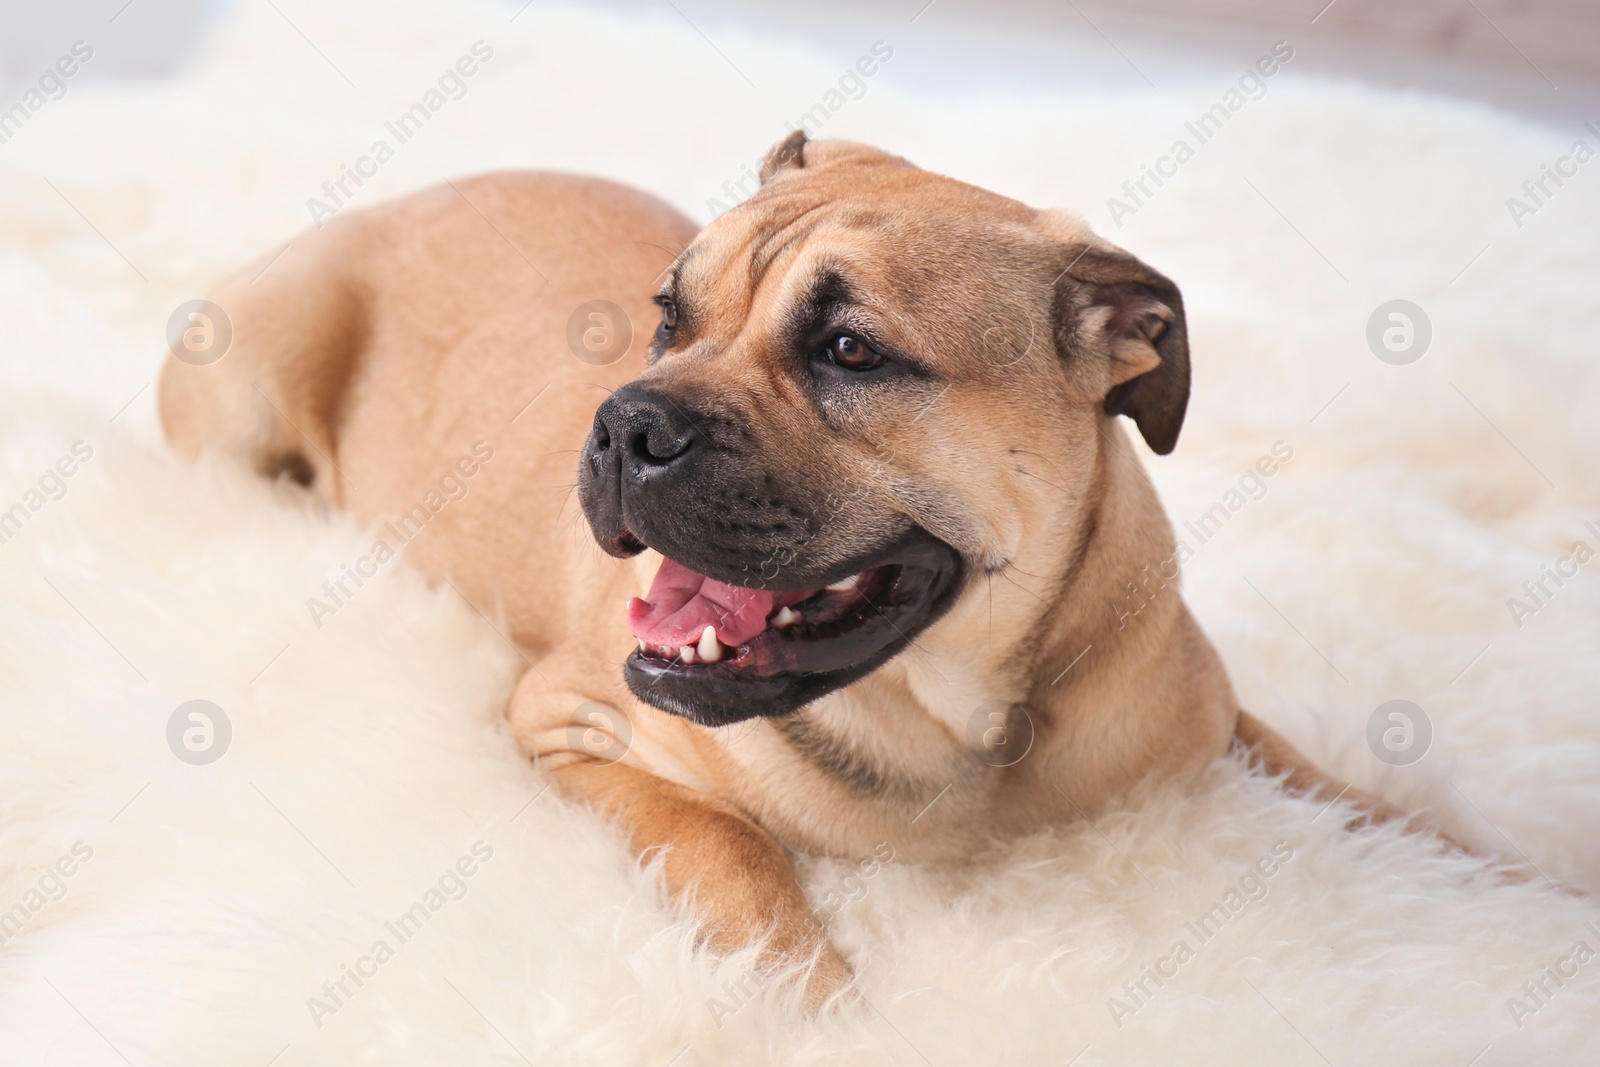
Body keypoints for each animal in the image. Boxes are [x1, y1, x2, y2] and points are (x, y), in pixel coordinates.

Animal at [165, 131, 1452, 1011]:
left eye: (849, 351)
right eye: (666, 316)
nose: (625, 422)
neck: (977, 715)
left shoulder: (1210, 718)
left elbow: (1349, 791)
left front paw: (1478, 870)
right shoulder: (573, 727)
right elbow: (725, 843)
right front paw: (818, 1007)